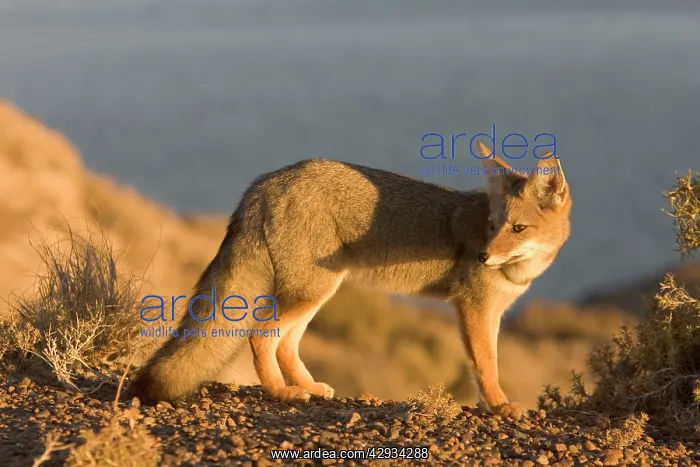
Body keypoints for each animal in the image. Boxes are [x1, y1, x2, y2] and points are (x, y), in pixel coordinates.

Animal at [129, 140, 571, 420]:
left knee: (285, 343)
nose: (483, 256)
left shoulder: (492, 313)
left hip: (319, 290)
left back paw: (308, 387)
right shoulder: (473, 308)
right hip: (312, 291)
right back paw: (281, 392)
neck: (519, 272)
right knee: (261, 335)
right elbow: (486, 366)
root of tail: (265, 182)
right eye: (493, 226)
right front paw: (499, 406)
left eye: (517, 228)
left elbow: (487, 362)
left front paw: (491, 404)